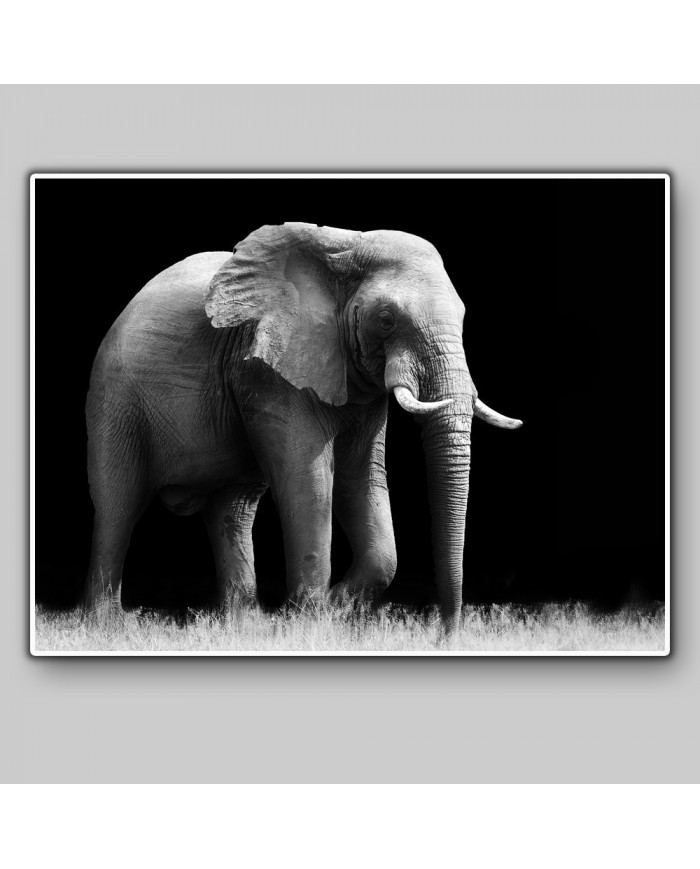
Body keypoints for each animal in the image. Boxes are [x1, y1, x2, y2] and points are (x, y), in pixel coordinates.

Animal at [84, 222, 521, 631]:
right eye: (386, 320)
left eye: (463, 318)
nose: (445, 632)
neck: (345, 246)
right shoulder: (268, 369)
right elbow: (308, 479)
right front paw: (309, 620)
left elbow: (359, 477)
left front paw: (334, 607)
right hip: (116, 401)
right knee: (118, 504)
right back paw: (108, 626)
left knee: (233, 511)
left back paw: (244, 625)